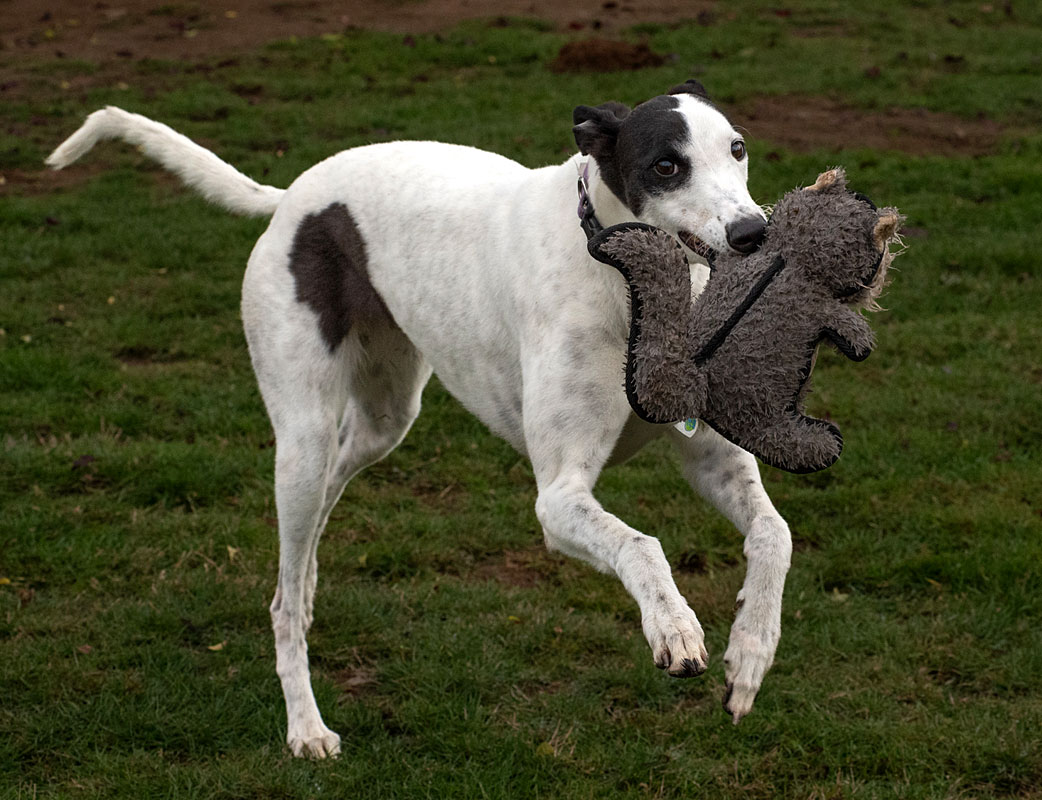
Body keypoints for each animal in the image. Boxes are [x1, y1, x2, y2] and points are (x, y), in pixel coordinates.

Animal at [48, 79, 791, 758]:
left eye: (738, 148)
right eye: (665, 165)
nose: (754, 233)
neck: (629, 280)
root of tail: (292, 196)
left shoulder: (712, 457)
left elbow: (774, 534)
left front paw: (751, 652)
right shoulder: (558, 498)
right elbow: (641, 543)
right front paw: (674, 628)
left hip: (384, 419)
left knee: (315, 526)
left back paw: (308, 585)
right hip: (303, 437)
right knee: (282, 597)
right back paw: (305, 726)